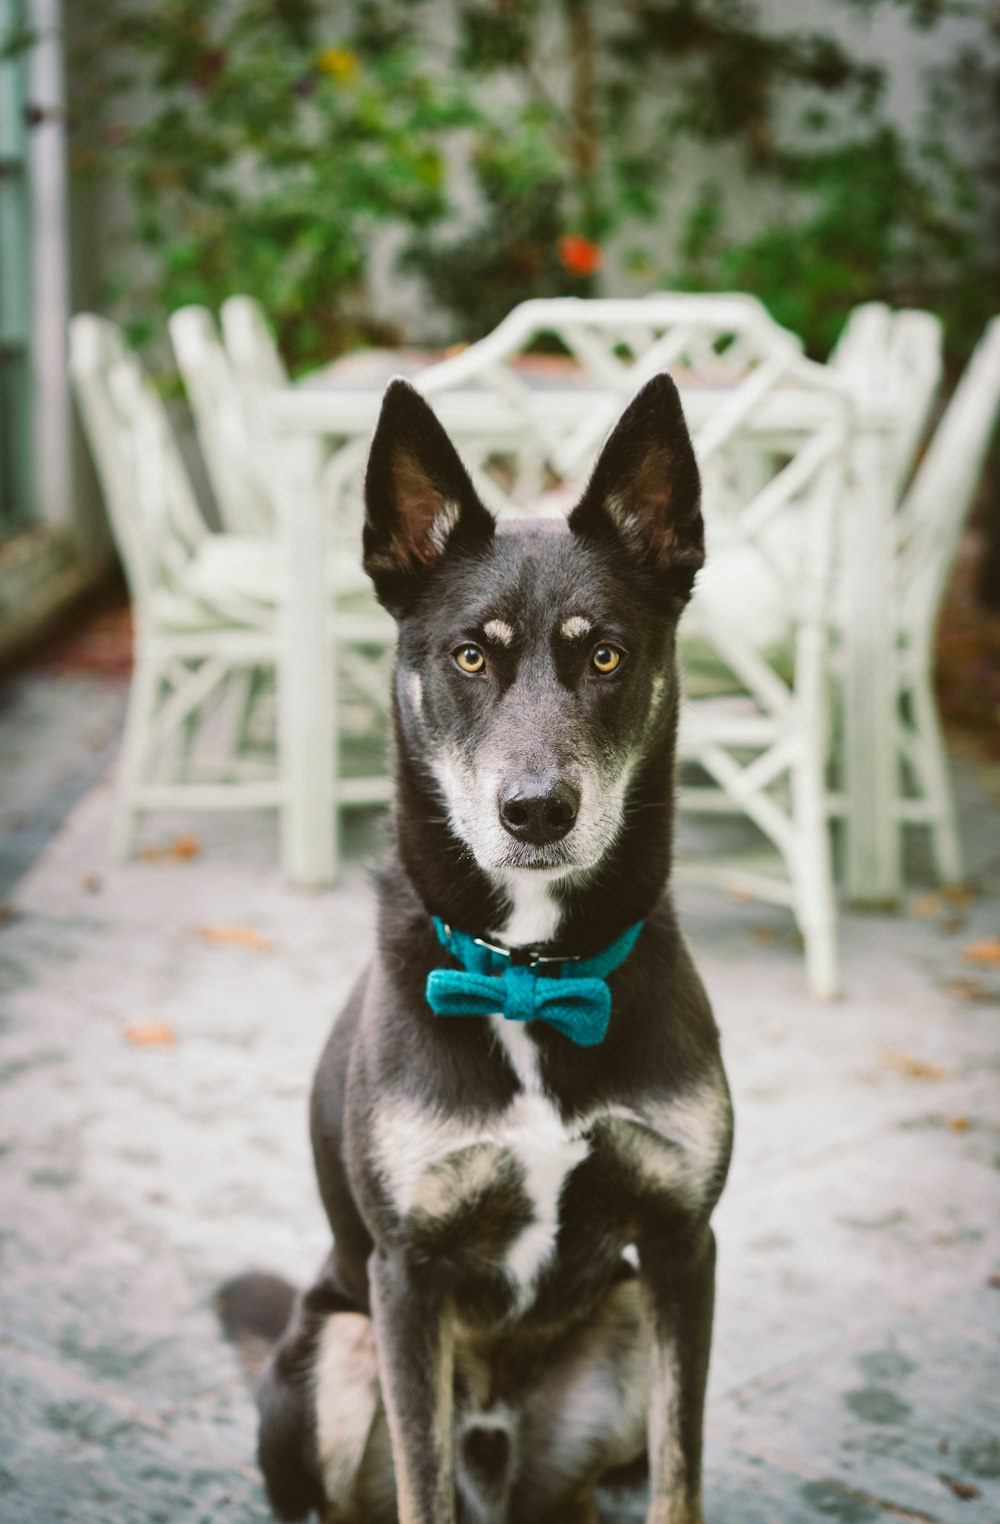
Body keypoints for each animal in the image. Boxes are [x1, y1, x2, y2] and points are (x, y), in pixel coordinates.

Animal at [234, 371, 734, 1524]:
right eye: (469, 654)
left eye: (606, 654)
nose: (536, 811)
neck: (527, 978)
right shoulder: (406, 1275)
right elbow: (421, 1485)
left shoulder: (682, 1248)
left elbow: (681, 1475)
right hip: (334, 1352)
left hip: (623, 1329)